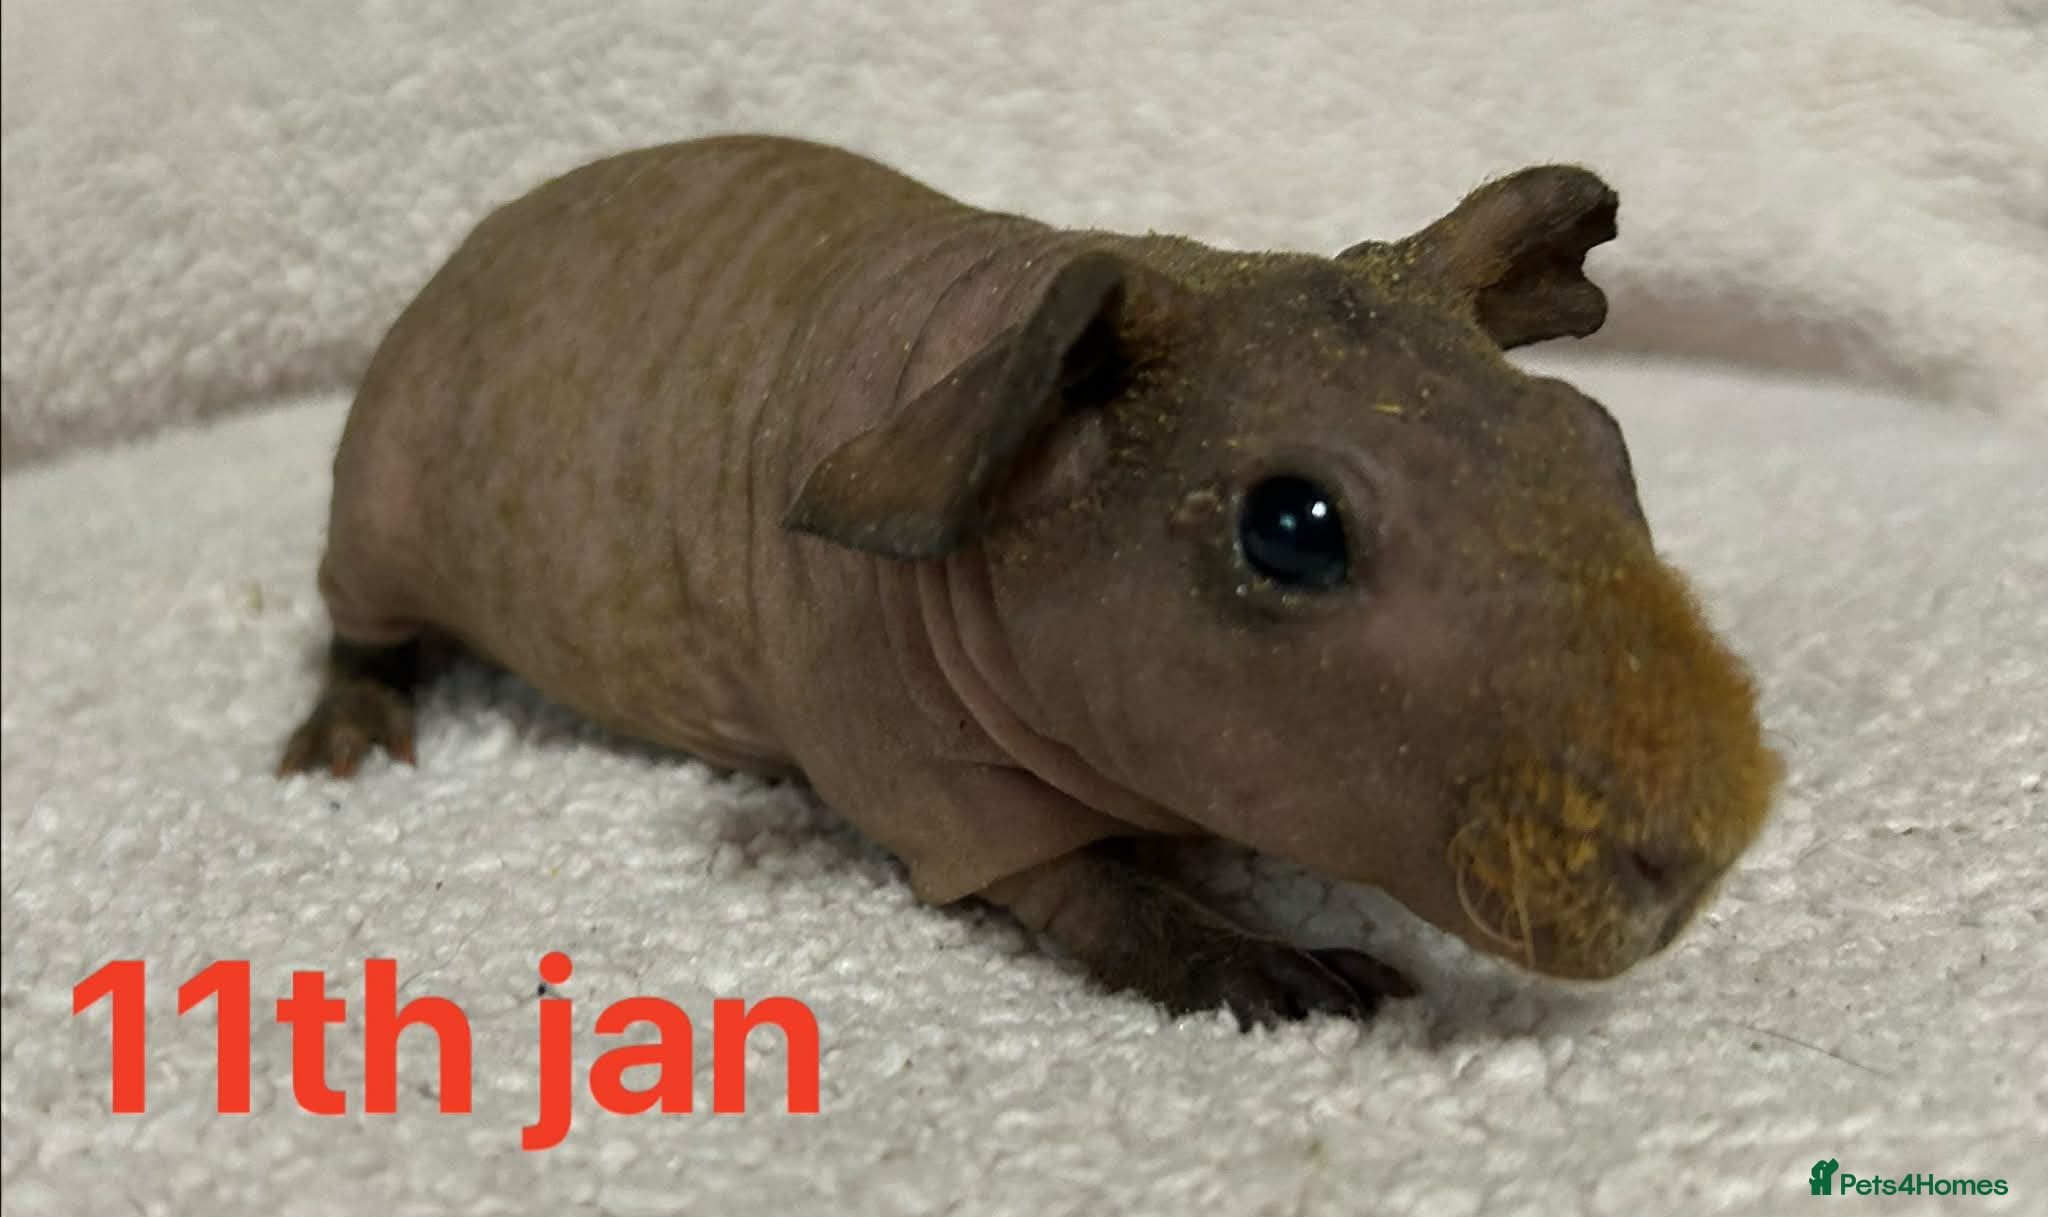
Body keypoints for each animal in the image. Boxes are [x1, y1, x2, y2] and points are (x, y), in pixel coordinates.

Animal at [279, 135, 1782, 1025]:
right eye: (1293, 526)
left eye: (1596, 441)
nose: (1697, 858)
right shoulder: (919, 778)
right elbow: (1088, 893)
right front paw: (1283, 970)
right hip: (377, 506)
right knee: (360, 631)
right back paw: (349, 731)